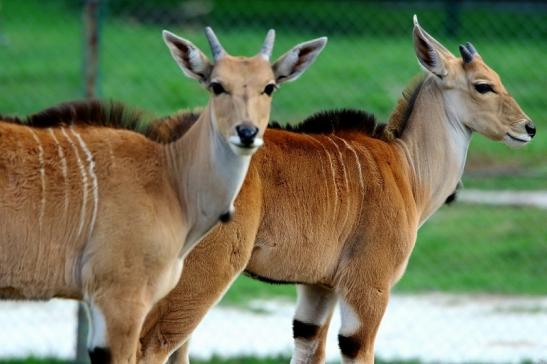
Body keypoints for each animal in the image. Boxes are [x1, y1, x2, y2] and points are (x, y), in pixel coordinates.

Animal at [137, 15, 536, 362]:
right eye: (483, 85)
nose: (528, 127)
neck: (406, 168)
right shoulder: (368, 288)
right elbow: (358, 350)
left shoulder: (318, 289)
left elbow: (308, 348)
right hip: (201, 276)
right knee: (151, 346)